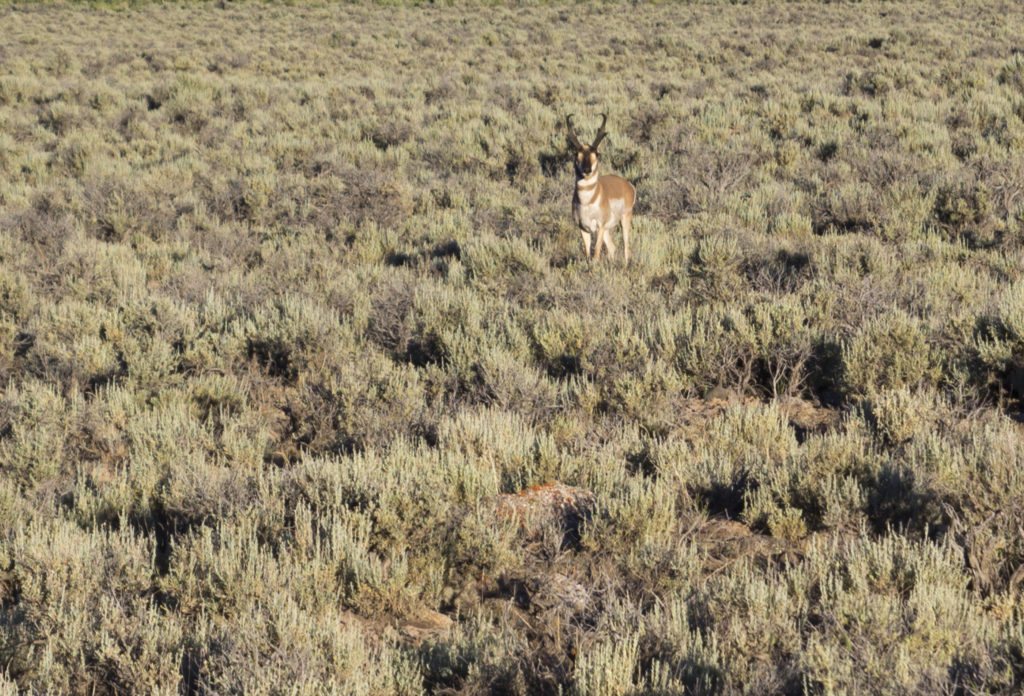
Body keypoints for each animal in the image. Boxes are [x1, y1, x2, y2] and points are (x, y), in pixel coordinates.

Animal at [569, 115, 630, 262]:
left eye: (596, 153)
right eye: (576, 154)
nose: (587, 170)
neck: (586, 202)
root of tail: (627, 185)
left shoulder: (600, 226)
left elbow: (596, 253)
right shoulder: (583, 228)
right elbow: (587, 254)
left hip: (625, 220)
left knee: (626, 247)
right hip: (608, 229)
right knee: (613, 247)